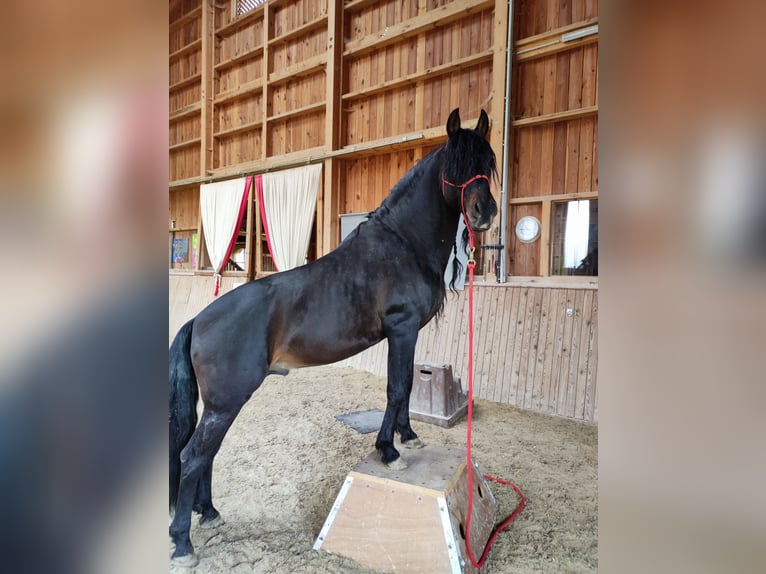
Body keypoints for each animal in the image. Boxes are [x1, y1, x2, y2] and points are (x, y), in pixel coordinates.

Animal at [169, 108, 498, 566]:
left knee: (206, 454)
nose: (484, 211)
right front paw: (389, 450)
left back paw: (210, 512)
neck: (403, 244)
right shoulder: (401, 328)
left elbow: (405, 386)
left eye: (487, 161)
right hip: (226, 402)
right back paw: (183, 543)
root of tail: (198, 320)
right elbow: (397, 388)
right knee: (192, 456)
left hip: (222, 405)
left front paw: (408, 437)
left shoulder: (407, 333)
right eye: (456, 164)